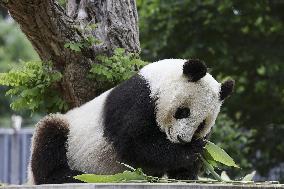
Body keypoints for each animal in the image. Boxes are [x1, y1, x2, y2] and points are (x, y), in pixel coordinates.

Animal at [27, 59, 234, 185]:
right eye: (183, 112)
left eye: (201, 124)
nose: (182, 139)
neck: (157, 80)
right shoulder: (135, 101)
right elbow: (136, 145)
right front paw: (190, 150)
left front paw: (187, 173)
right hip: (68, 132)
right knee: (49, 136)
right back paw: (67, 175)